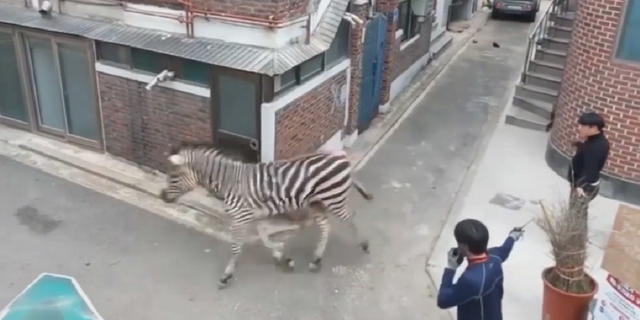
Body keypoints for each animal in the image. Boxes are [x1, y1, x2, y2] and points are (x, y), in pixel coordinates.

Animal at [157, 141, 372, 288]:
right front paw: (283, 258)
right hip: (317, 203)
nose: (162, 196)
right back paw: (316, 260)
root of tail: (341, 156)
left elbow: (236, 247)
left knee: (350, 218)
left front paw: (227, 275)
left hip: (333, 199)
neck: (229, 182)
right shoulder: (252, 216)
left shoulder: (241, 218)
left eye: (173, 176)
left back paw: (364, 245)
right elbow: (263, 237)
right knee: (326, 226)